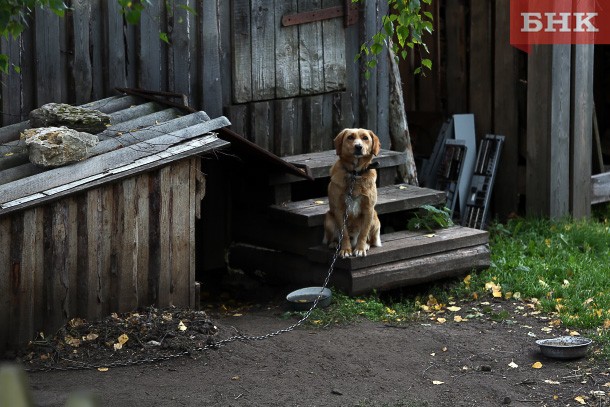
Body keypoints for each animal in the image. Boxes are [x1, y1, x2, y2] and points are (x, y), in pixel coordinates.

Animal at [324, 128, 380, 258]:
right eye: (350, 137)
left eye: (365, 138)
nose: (358, 146)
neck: (355, 174)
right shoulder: (339, 210)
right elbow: (343, 234)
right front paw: (345, 250)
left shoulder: (368, 210)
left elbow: (364, 233)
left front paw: (360, 248)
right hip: (329, 219)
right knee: (335, 237)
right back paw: (335, 244)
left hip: (375, 218)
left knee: (369, 239)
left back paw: (365, 245)